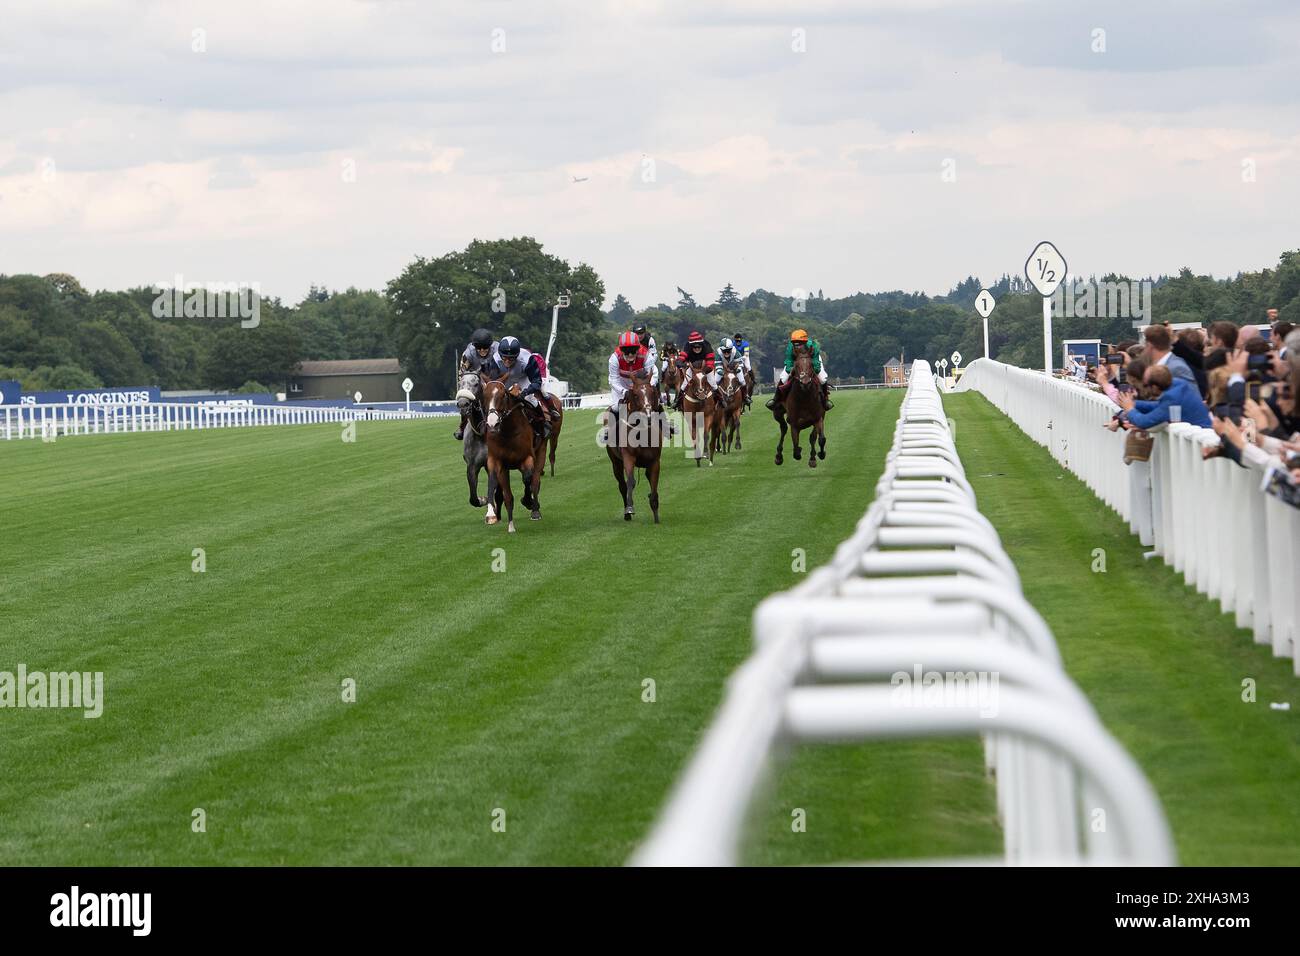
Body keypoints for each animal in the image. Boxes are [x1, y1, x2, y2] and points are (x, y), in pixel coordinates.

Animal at [483, 369, 543, 530]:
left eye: (503, 395)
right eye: (484, 395)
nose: (492, 424)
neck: (508, 432)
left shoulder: (527, 457)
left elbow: (528, 478)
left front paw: (528, 501)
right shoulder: (496, 460)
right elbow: (493, 482)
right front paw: (491, 514)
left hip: (541, 450)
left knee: (535, 480)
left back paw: (535, 510)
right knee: (508, 495)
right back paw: (511, 525)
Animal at [605, 371, 665, 522]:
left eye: (652, 392)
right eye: (636, 395)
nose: (648, 416)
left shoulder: (655, 461)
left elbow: (654, 486)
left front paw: (656, 515)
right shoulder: (628, 456)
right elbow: (630, 481)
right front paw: (630, 508)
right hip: (615, 462)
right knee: (622, 484)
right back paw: (627, 513)